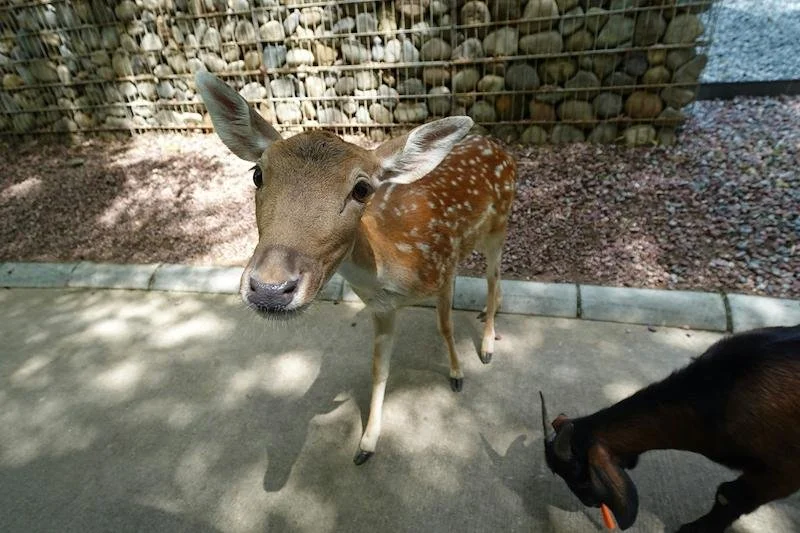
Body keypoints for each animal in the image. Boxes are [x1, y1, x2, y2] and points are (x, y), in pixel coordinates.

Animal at [195, 72, 518, 465]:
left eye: (362, 189)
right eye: (257, 174)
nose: (270, 288)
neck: (396, 265)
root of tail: (499, 146)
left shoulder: (442, 269)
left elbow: (445, 326)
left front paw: (457, 374)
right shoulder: (382, 307)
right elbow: (378, 368)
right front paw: (367, 442)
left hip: (500, 225)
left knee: (493, 277)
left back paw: (487, 346)